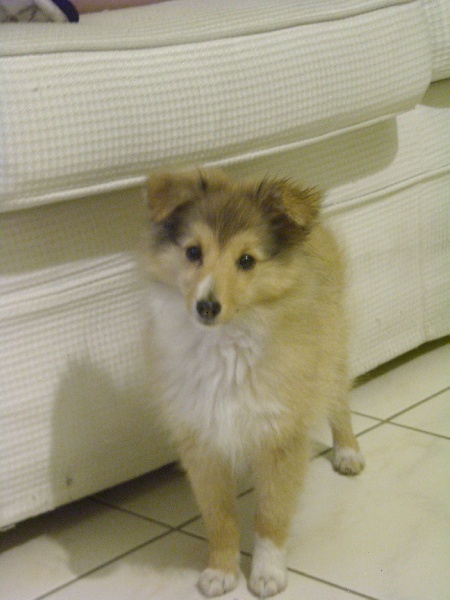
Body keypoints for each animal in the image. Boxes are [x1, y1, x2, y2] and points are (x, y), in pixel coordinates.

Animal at [141, 169, 364, 598]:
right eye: (193, 252)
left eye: (247, 260)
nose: (207, 306)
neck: (226, 347)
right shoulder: (203, 443)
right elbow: (221, 518)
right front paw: (222, 572)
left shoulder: (280, 436)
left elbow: (271, 515)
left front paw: (267, 572)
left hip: (331, 348)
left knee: (338, 400)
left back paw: (347, 452)